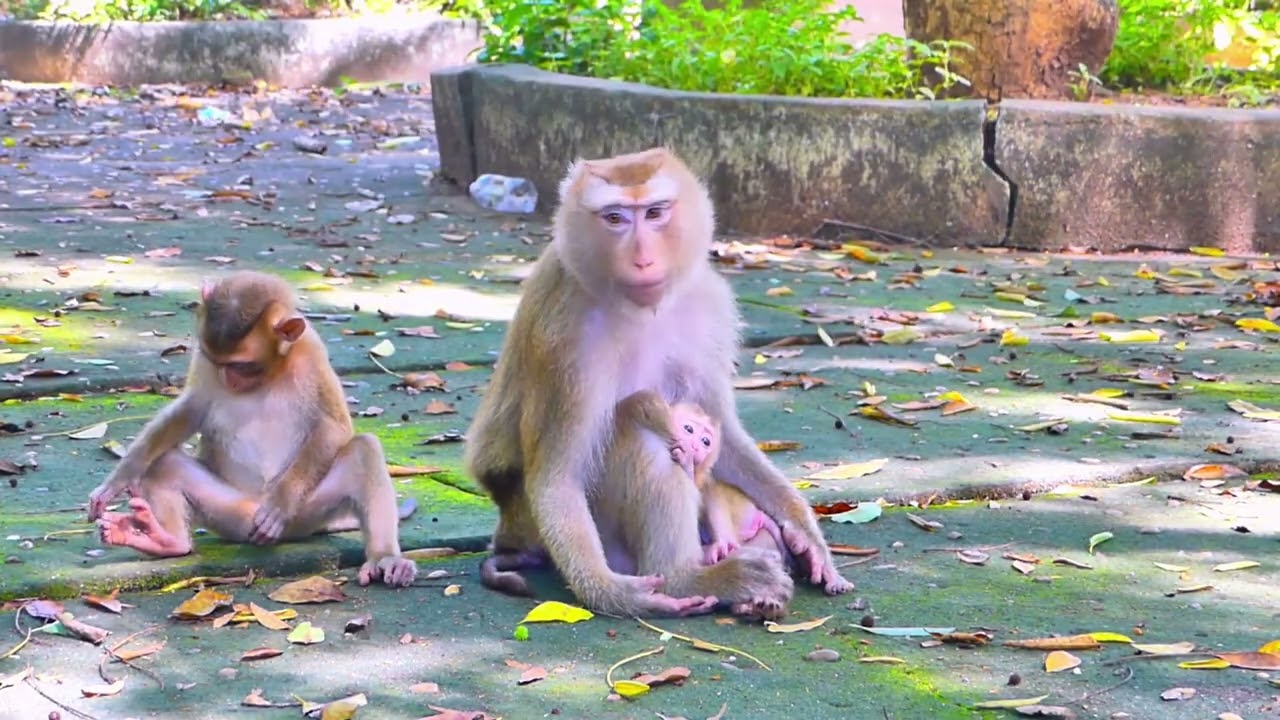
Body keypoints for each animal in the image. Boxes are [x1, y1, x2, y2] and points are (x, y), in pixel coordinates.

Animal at [87, 270, 418, 588]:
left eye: (242, 365)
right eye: (214, 360)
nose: (228, 379)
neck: (272, 372)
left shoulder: (311, 351)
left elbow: (334, 427)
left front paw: (281, 501)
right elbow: (189, 411)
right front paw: (118, 479)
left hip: (307, 512)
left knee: (364, 450)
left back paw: (385, 558)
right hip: (229, 513)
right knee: (165, 463)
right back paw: (168, 541)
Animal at [464, 146, 852, 619]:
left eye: (654, 213)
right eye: (615, 218)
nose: (643, 258)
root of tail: (509, 530)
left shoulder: (708, 304)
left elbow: (722, 435)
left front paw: (805, 532)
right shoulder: (563, 337)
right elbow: (557, 479)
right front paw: (613, 593)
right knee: (648, 440)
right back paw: (690, 577)